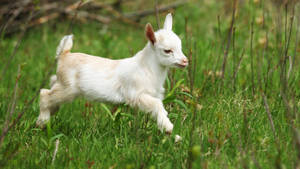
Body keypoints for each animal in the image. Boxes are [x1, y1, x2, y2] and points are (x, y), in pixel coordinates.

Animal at [37, 12, 188, 135]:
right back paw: (42, 122)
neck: (147, 68)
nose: (185, 61)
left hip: (62, 83)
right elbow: (157, 105)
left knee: (51, 84)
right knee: (44, 93)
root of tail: (64, 54)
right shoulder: (135, 94)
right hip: (68, 88)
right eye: (167, 50)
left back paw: (51, 112)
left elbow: (158, 106)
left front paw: (169, 131)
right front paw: (169, 128)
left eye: (180, 46)